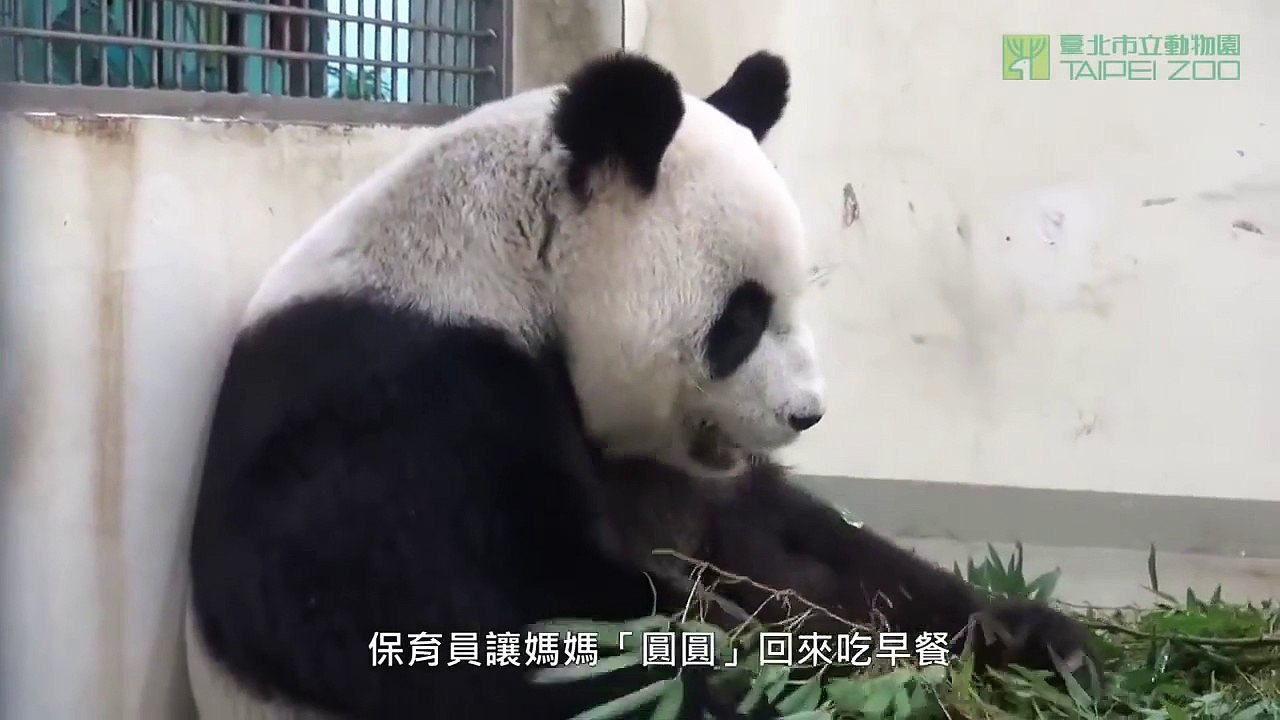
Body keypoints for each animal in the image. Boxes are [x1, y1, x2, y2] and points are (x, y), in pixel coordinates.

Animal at [185, 49, 1096, 720]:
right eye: (742, 317)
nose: (806, 414)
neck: (508, 270)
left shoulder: (683, 476)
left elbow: (800, 554)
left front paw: (1028, 638)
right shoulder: (400, 394)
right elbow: (468, 614)